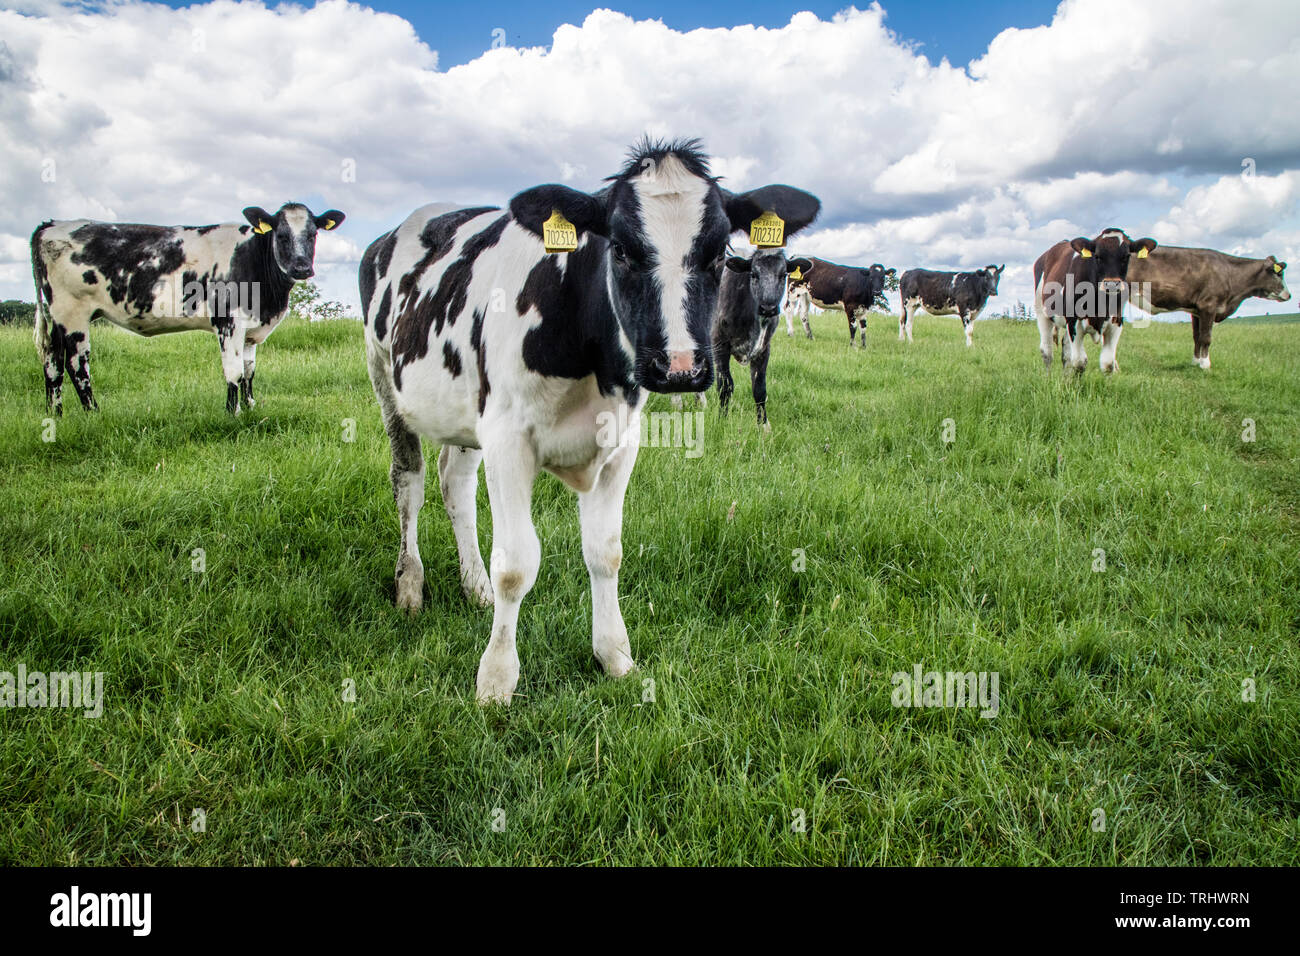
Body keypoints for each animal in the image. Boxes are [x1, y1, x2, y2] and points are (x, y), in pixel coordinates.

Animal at [30, 204, 345, 413]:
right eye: (280, 235)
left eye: (313, 235)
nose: (302, 268)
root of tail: (51, 225)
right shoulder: (228, 322)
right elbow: (234, 372)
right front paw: (233, 414)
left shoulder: (251, 328)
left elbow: (249, 371)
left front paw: (251, 407)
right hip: (73, 314)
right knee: (76, 366)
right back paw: (93, 413)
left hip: (56, 318)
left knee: (52, 363)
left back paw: (55, 414)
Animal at [717, 239, 816, 426]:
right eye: (753, 274)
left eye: (783, 275)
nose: (768, 308)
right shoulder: (719, 344)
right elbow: (725, 385)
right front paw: (722, 420)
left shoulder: (764, 348)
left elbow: (759, 389)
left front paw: (763, 424)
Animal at [1034, 227, 1159, 374]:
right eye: (1098, 256)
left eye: (1126, 256)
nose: (1111, 284)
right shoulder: (1074, 322)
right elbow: (1079, 362)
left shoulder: (1116, 322)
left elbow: (1108, 364)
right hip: (1042, 312)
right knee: (1047, 351)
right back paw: (1048, 376)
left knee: (1066, 351)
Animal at [1128, 244, 1289, 369]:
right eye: (1279, 274)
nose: (1289, 295)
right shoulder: (1208, 305)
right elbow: (1206, 338)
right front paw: (1205, 365)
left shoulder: (1196, 311)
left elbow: (1197, 336)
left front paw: (1195, 361)